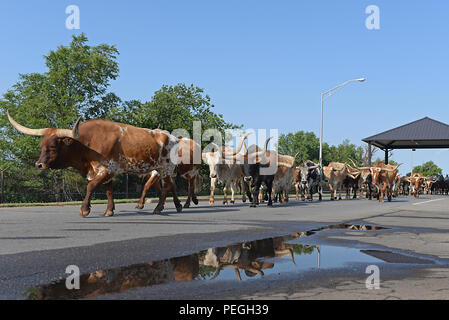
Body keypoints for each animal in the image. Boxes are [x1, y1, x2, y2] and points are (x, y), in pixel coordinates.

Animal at [6, 111, 180, 216]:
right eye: (41, 145)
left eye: (53, 146)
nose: (39, 165)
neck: (86, 144)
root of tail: (173, 138)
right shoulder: (106, 172)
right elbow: (108, 191)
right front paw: (109, 210)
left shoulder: (106, 169)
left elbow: (91, 186)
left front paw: (84, 209)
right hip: (160, 169)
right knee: (170, 186)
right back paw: (176, 206)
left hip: (166, 168)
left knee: (167, 187)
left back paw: (160, 208)